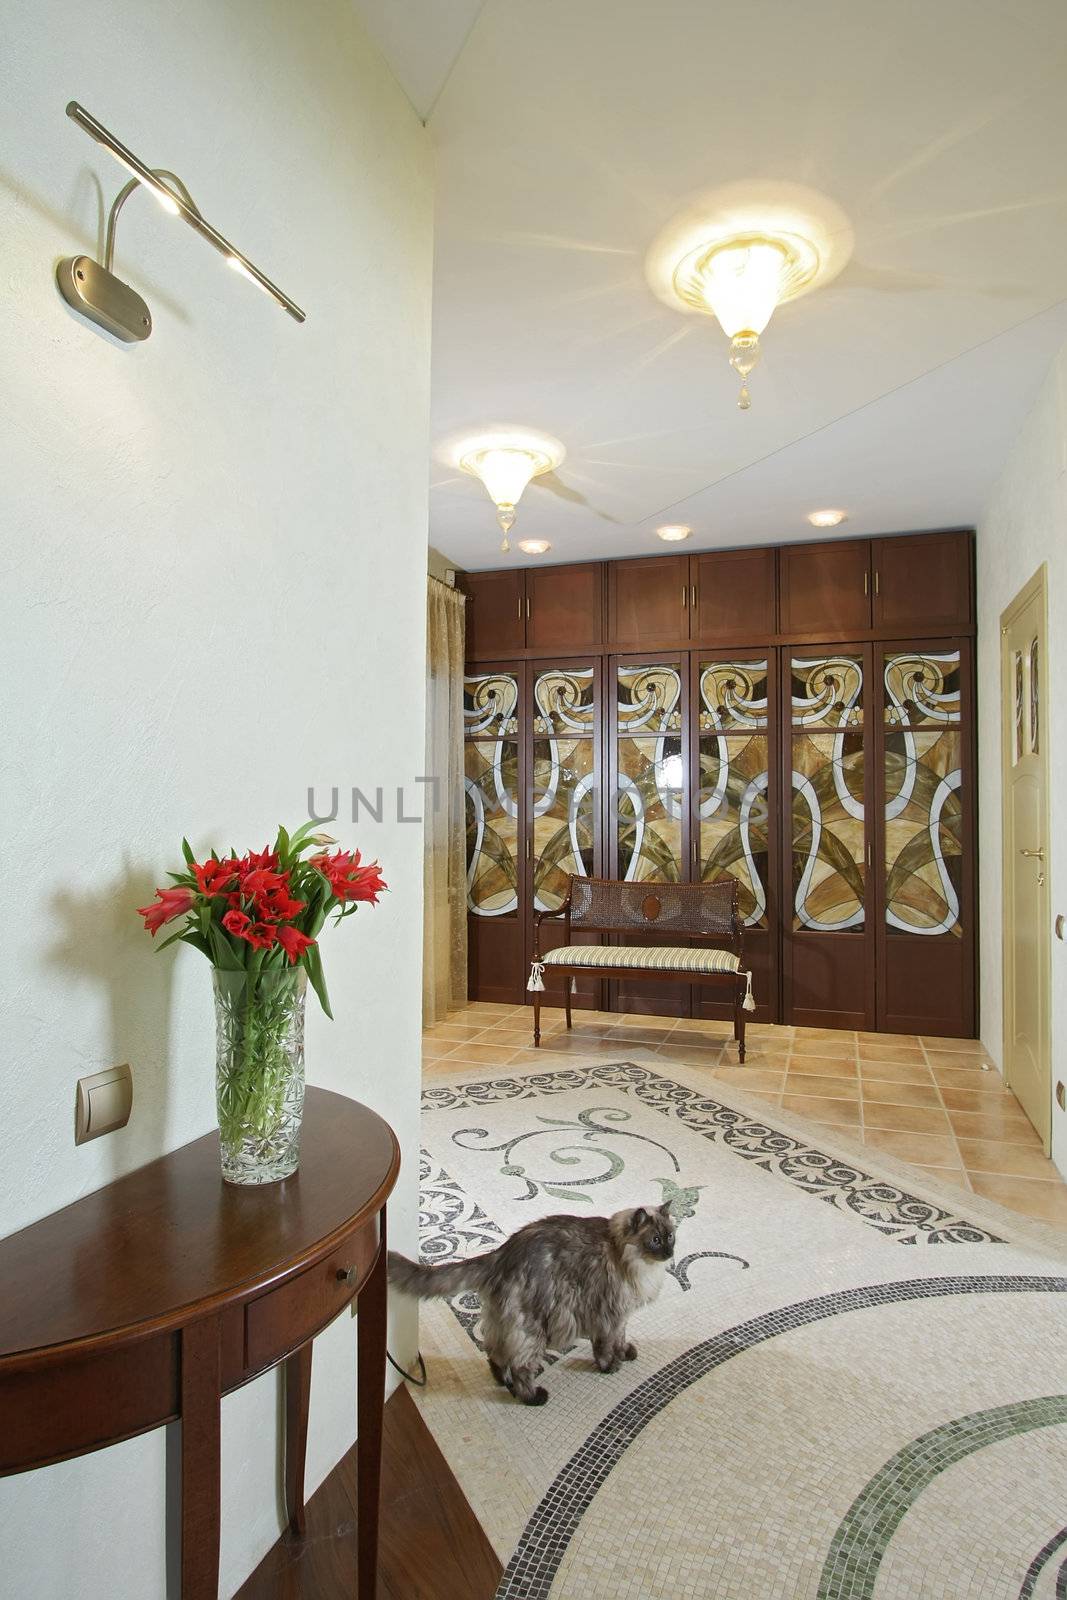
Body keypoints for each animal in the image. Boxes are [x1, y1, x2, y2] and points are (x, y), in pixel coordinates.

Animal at [390, 1203, 675, 1408]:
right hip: (532, 1330)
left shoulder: (620, 1317)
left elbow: (620, 1339)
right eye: (655, 1240)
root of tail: (500, 1254)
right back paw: (532, 1396)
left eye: (671, 1236)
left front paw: (626, 1353)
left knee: (495, 1354)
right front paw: (611, 1367)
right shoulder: (609, 1315)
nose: (669, 1253)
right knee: (519, 1366)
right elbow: (606, 1347)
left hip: (503, 1322)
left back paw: (503, 1382)